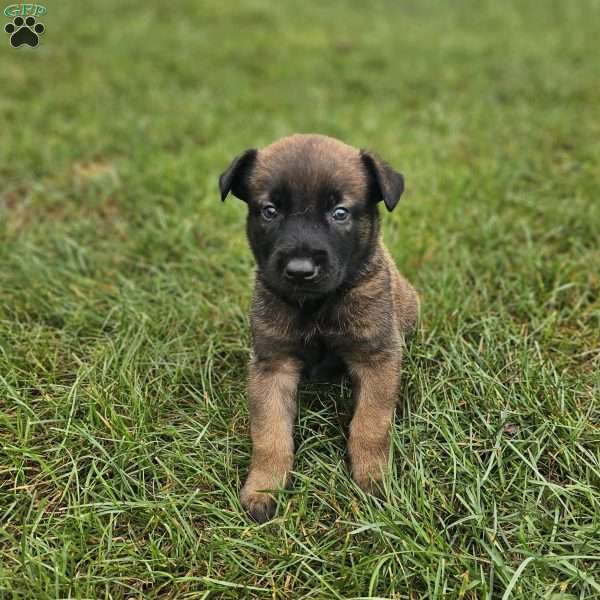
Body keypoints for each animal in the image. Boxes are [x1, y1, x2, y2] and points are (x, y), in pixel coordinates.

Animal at [218, 132, 420, 520]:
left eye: (339, 213)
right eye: (270, 211)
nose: (300, 270)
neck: (317, 306)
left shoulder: (377, 358)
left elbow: (371, 424)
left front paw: (373, 477)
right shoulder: (272, 364)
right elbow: (270, 433)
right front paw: (264, 487)